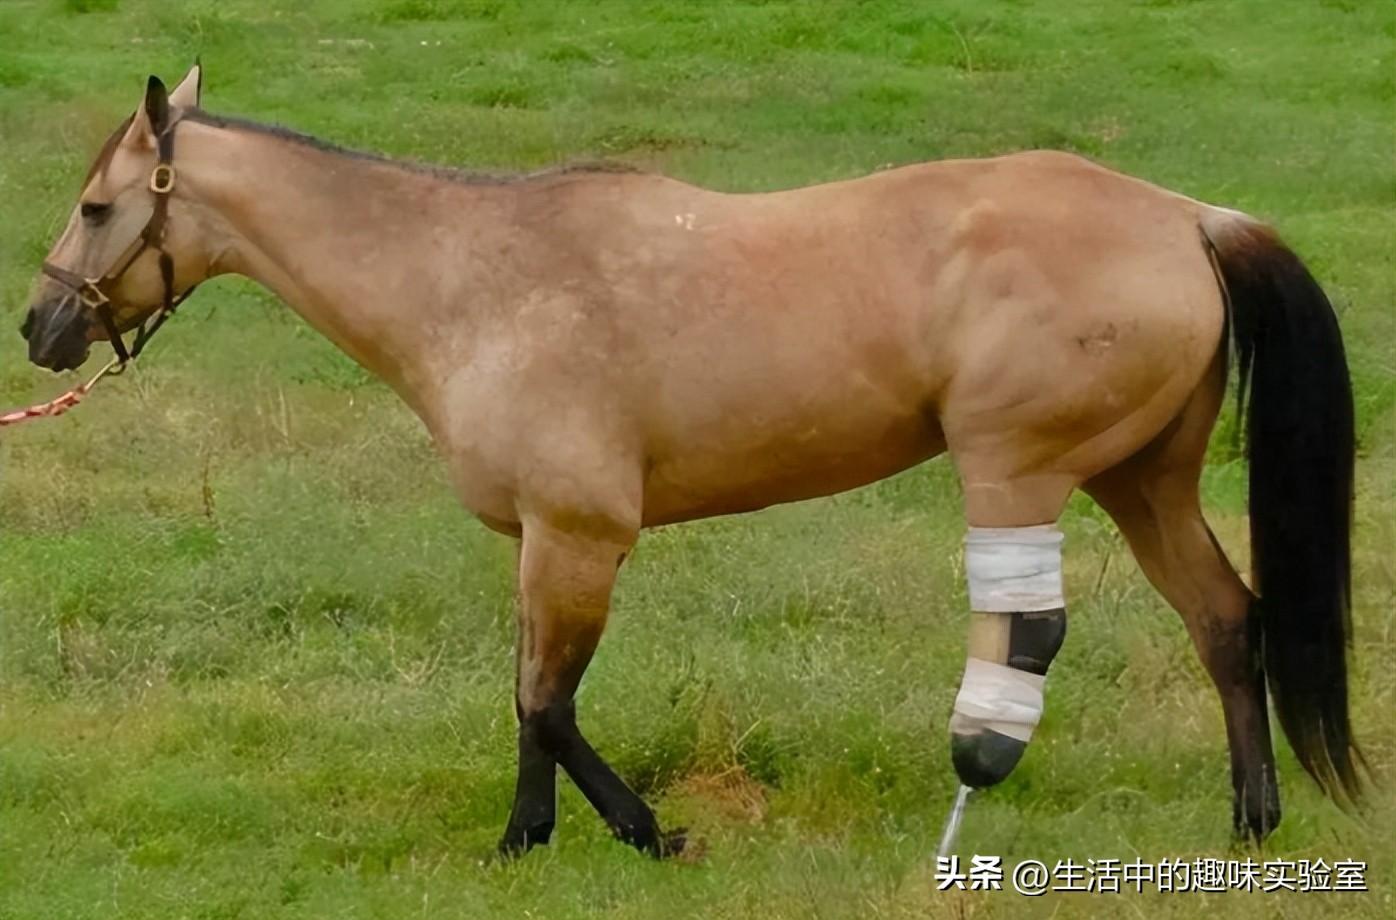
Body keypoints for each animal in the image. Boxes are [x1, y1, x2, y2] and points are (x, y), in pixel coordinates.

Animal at [20, 66, 1360, 857]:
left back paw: (976, 780)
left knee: (1031, 634)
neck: (473, 278)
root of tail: (1185, 215)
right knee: (1224, 617)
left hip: (1020, 466)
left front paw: (644, 830)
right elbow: (527, 692)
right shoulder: (540, 542)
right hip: (1142, 478)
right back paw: (1251, 816)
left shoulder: (582, 536)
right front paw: (525, 839)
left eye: (94, 208)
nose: (39, 328)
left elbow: (547, 701)